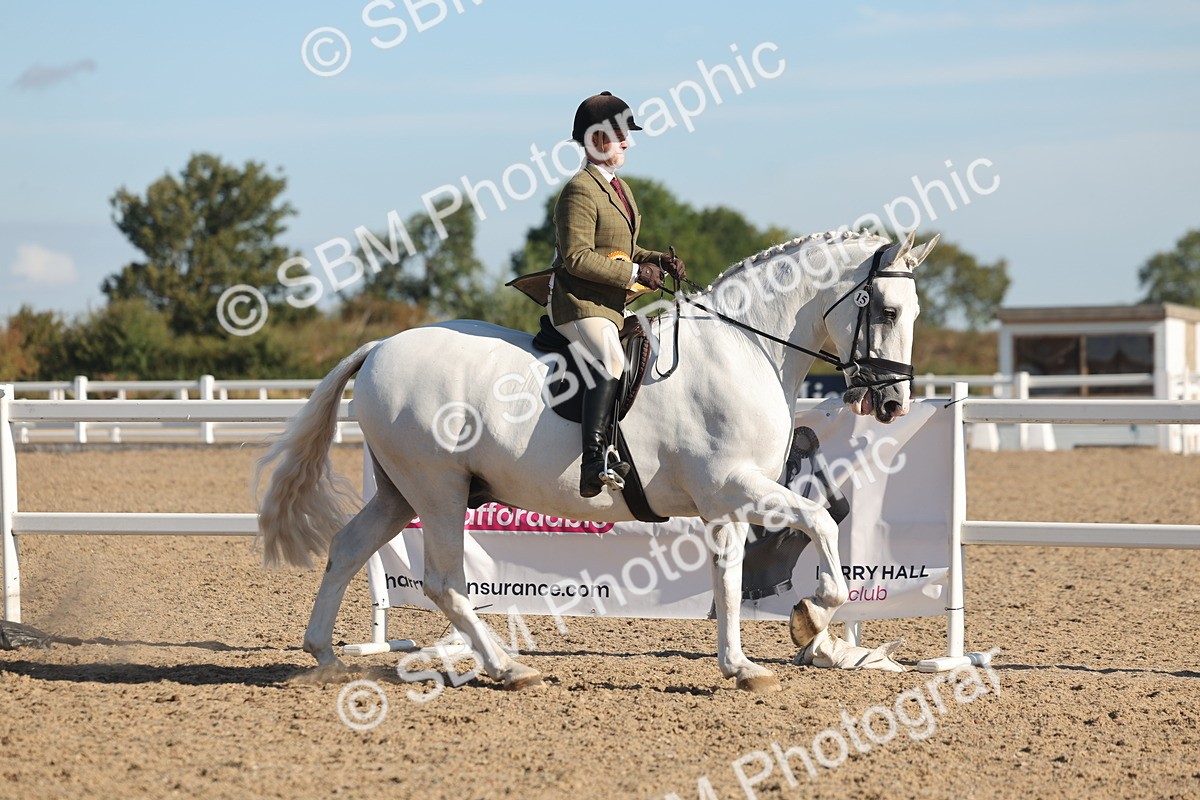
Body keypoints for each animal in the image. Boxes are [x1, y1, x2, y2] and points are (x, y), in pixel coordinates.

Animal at [256, 229, 938, 692]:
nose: (893, 402)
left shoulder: (725, 504)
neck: (744, 347)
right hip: (438, 490)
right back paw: (507, 668)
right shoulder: (735, 486)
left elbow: (730, 579)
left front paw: (744, 664)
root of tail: (377, 347)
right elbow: (819, 523)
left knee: (348, 548)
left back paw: (324, 657)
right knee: (444, 583)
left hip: (401, 493)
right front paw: (810, 615)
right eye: (887, 311)